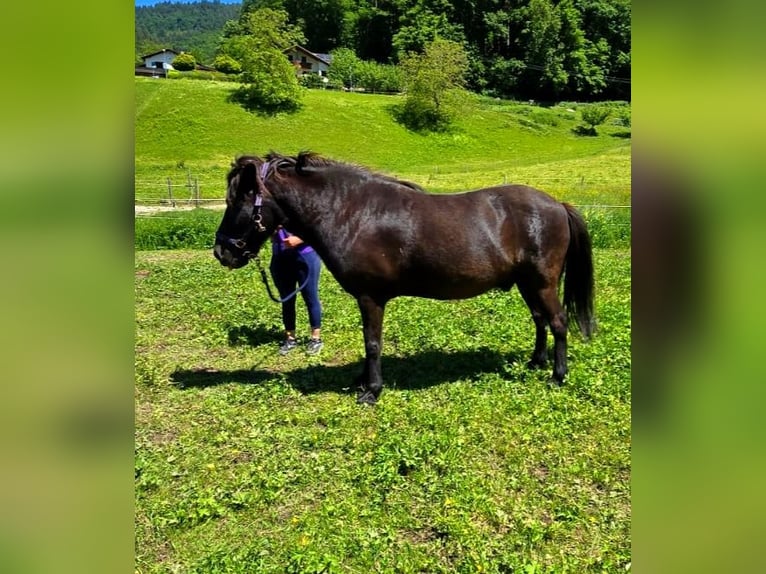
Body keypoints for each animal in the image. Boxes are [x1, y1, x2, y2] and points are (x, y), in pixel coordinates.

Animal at [214, 152, 595, 405]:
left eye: (239, 200)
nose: (222, 252)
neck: (352, 212)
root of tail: (557, 205)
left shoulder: (371, 298)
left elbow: (372, 343)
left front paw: (371, 391)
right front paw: (361, 381)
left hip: (542, 282)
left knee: (557, 322)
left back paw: (557, 376)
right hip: (528, 284)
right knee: (540, 320)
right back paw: (535, 362)